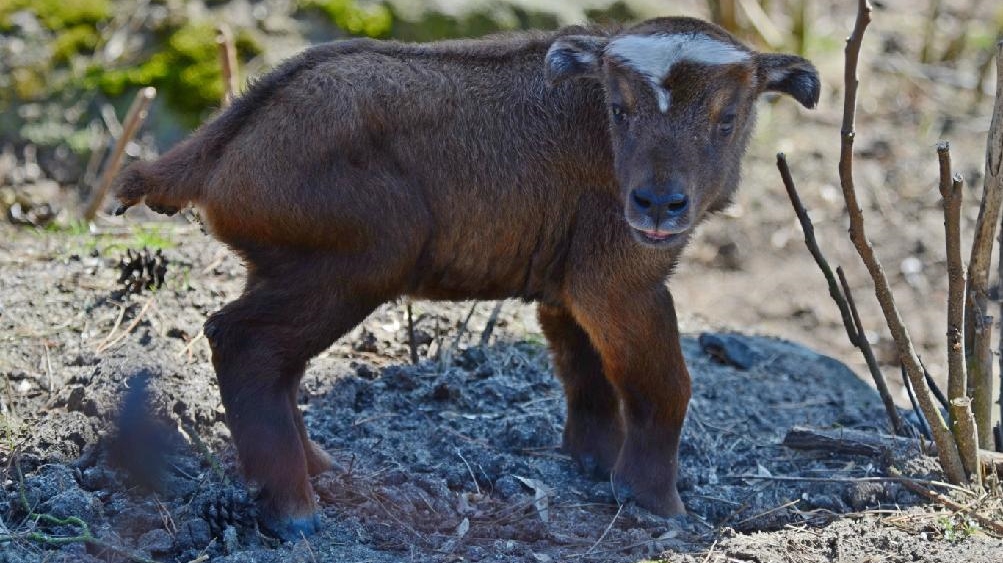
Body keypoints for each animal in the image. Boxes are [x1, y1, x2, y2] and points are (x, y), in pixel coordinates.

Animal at [113, 17, 818, 541]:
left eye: (726, 118)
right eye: (619, 109)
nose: (658, 204)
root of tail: (216, 147)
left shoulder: (570, 289)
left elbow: (587, 374)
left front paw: (593, 464)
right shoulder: (620, 283)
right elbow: (663, 388)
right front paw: (657, 503)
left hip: (287, 269)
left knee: (275, 365)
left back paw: (319, 470)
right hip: (358, 263)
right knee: (243, 342)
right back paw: (294, 509)